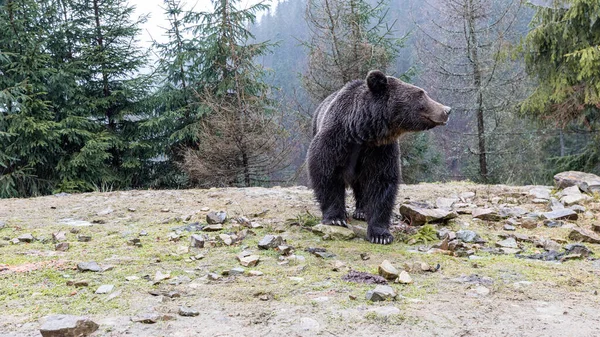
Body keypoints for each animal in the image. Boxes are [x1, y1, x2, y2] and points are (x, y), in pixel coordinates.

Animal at [304, 70, 450, 244]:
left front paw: (380, 234)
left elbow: (381, 183)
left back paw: (361, 211)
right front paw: (336, 218)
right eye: (421, 94)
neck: (363, 133)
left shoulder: (380, 151)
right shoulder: (336, 141)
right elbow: (326, 172)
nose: (447, 110)